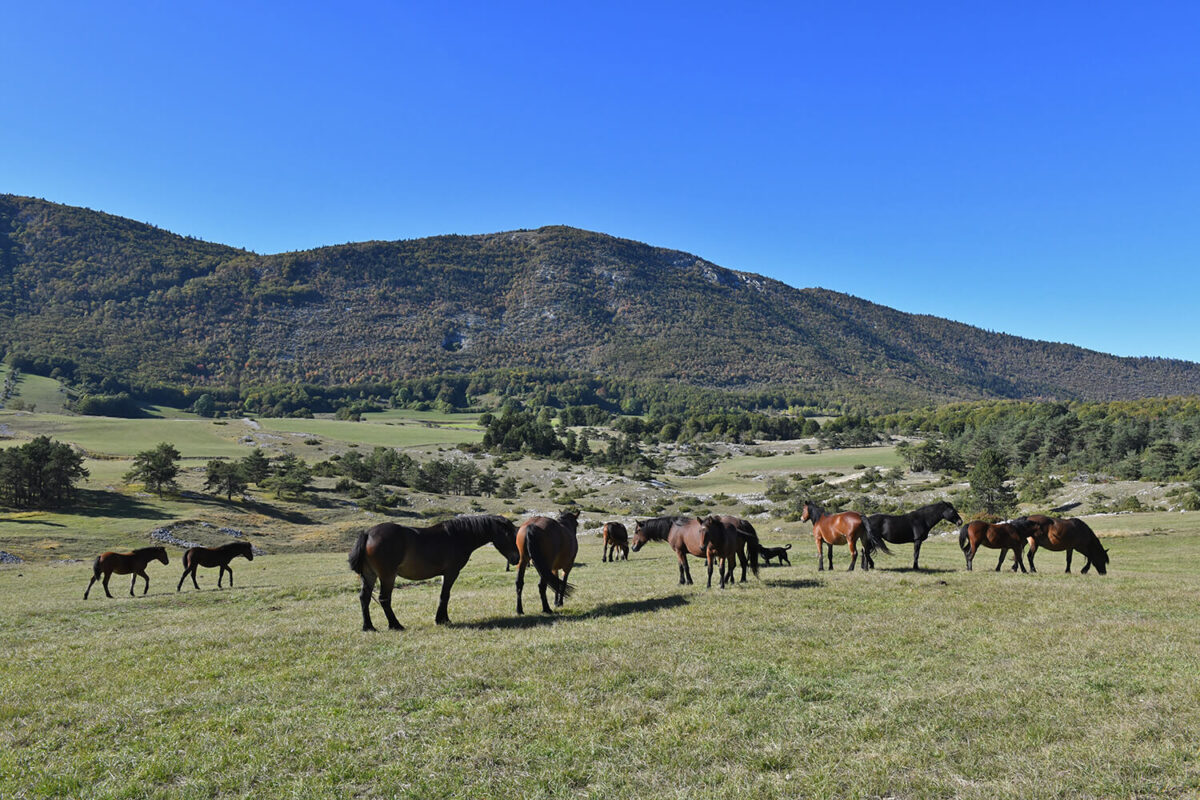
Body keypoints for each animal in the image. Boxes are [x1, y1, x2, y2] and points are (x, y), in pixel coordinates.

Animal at [348, 514, 520, 630]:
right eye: (508, 534)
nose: (516, 558)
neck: (458, 536)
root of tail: (368, 533)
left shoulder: (445, 574)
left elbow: (444, 596)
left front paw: (443, 618)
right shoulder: (451, 572)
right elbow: (445, 595)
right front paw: (441, 620)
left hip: (369, 575)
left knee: (364, 598)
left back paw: (368, 627)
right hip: (387, 576)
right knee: (384, 599)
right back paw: (395, 625)